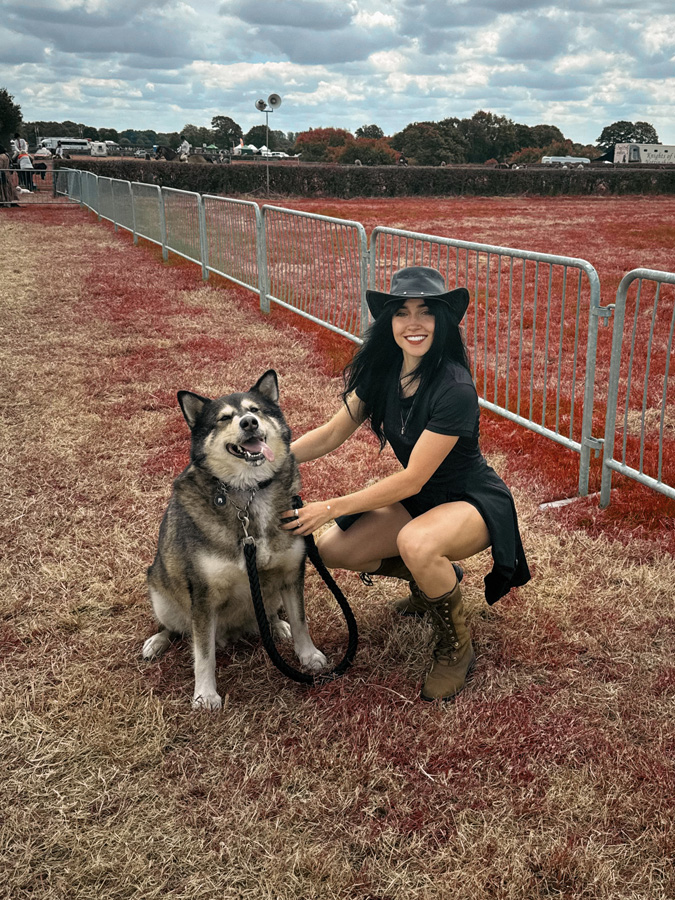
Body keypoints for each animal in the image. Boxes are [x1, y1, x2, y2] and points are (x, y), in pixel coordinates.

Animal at [144, 370, 328, 708]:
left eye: (255, 410)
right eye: (224, 418)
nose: (249, 423)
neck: (248, 492)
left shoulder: (291, 573)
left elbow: (300, 621)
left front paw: (308, 655)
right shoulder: (203, 596)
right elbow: (203, 653)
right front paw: (205, 694)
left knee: (270, 615)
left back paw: (276, 625)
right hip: (161, 593)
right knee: (176, 628)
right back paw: (156, 641)